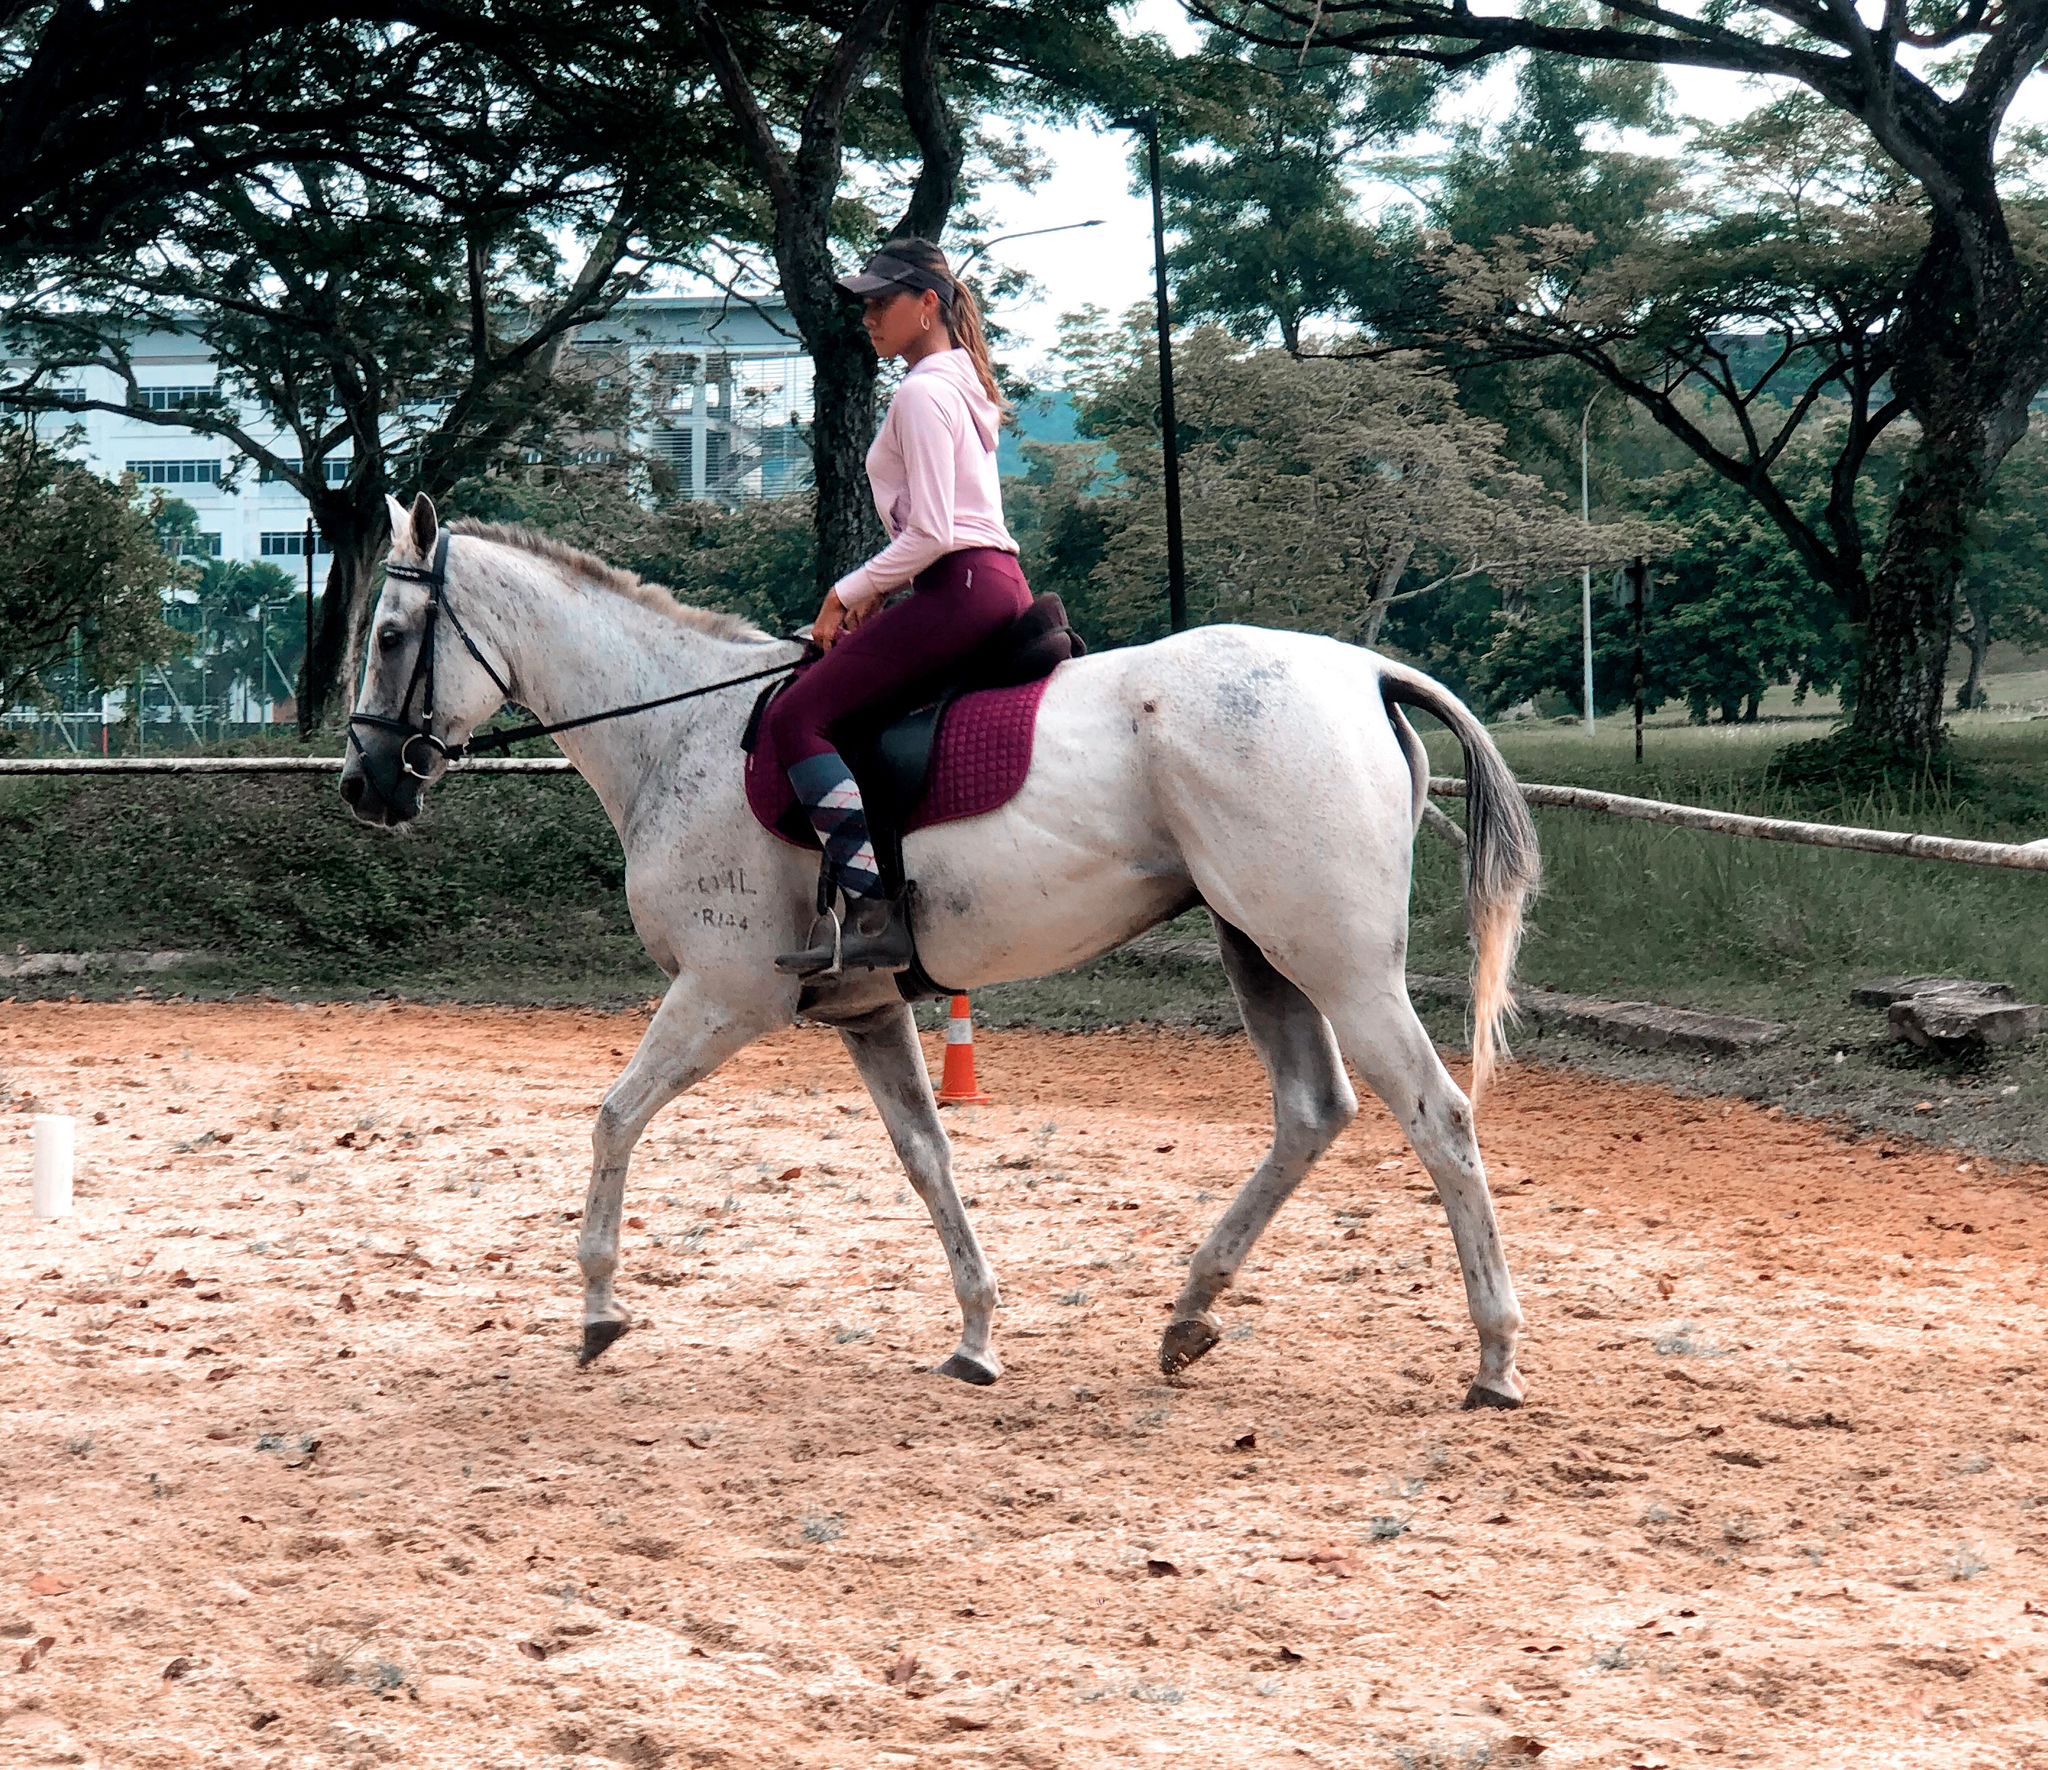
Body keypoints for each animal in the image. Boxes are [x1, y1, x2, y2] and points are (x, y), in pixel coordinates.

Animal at [342, 493, 1542, 1409]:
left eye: (392, 636)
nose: (365, 786)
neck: (679, 735)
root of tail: (1364, 673)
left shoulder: (723, 994)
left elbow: (613, 1117)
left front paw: (597, 1305)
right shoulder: (869, 1009)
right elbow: (927, 1158)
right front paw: (975, 1334)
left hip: (1334, 961)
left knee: (1437, 1120)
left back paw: (1492, 1358)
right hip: (1260, 948)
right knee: (1309, 1113)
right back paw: (1191, 1311)